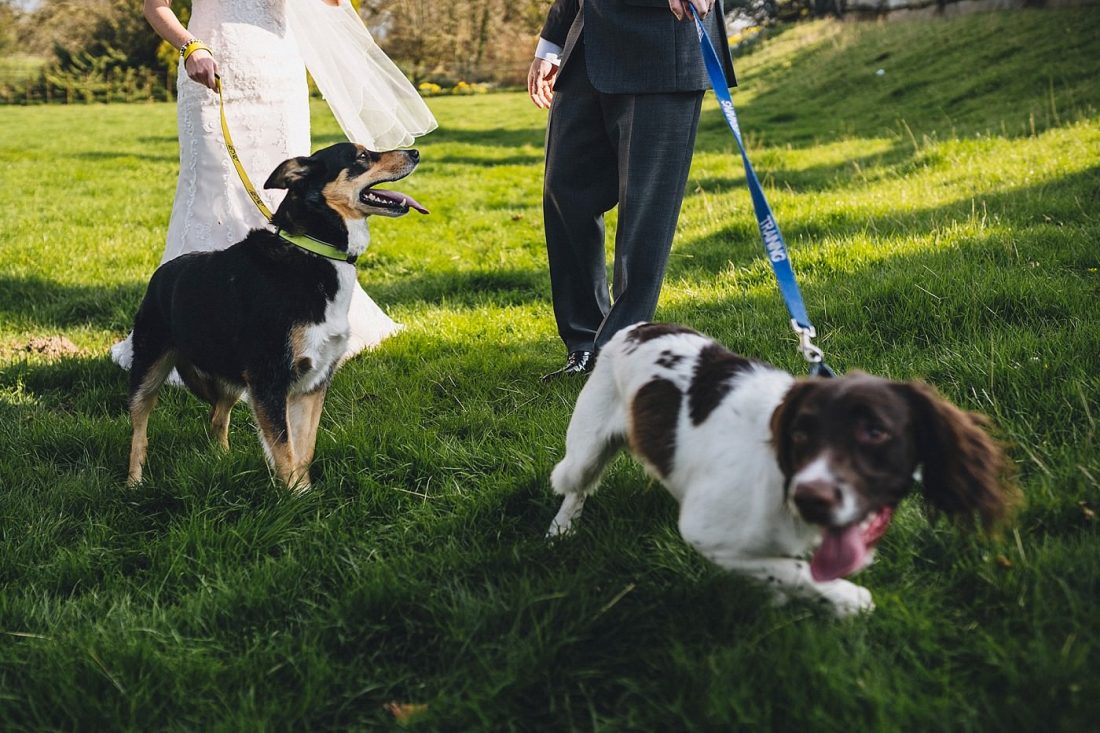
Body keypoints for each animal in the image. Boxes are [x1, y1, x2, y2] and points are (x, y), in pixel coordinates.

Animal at [124, 140, 424, 490]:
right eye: (362, 156)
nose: (415, 152)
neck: (314, 250)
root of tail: (161, 273)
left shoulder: (312, 382)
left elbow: (303, 449)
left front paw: (305, 492)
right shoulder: (269, 379)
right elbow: (284, 450)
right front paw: (295, 498)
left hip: (232, 379)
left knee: (217, 416)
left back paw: (222, 460)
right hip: (149, 367)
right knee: (139, 428)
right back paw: (134, 482)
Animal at [547, 323, 1012, 611]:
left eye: (876, 432)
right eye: (800, 435)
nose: (812, 498)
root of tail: (637, 326)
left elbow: (783, 572)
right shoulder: (706, 534)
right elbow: (796, 571)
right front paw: (848, 600)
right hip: (586, 449)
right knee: (574, 484)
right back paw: (561, 530)